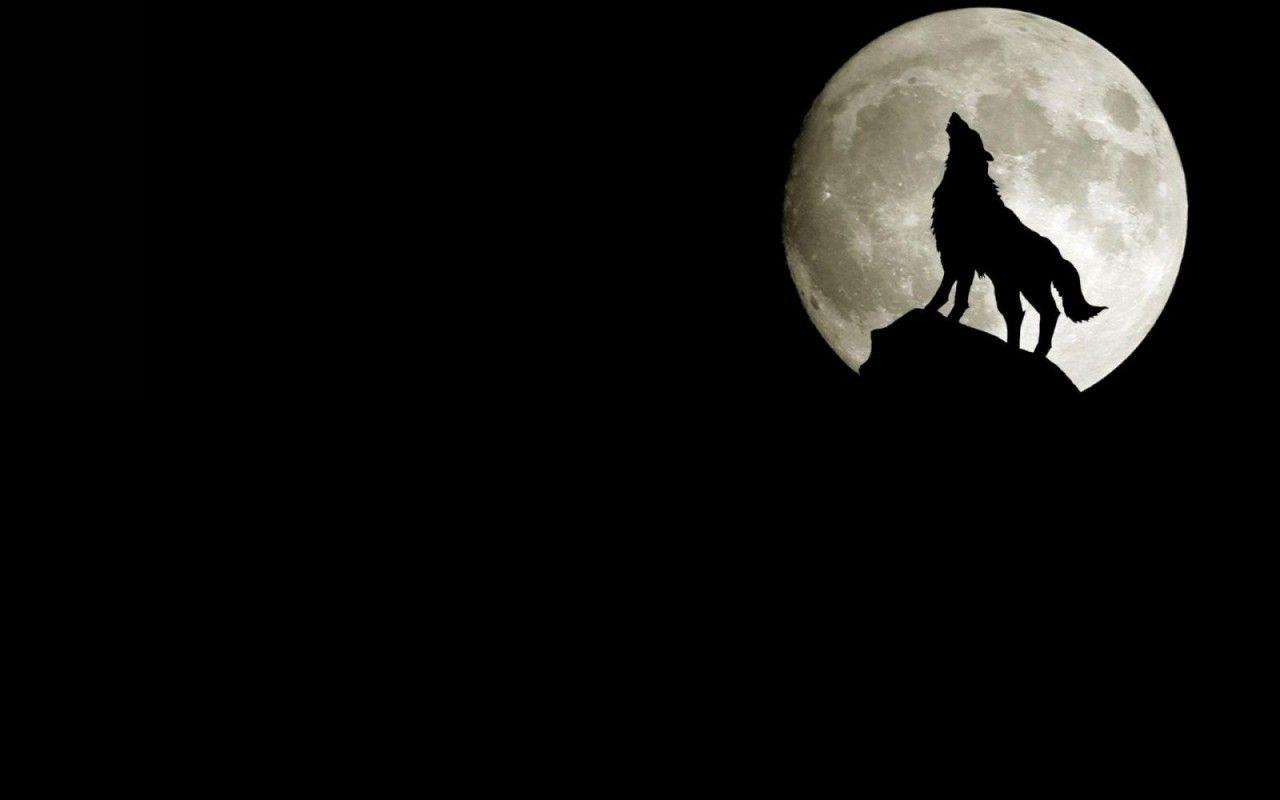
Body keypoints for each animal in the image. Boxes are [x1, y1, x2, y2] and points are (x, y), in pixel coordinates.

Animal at [926, 112, 1105, 355]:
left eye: (971, 132)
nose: (955, 115)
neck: (968, 184)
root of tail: (1058, 255)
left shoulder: (959, 257)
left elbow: (948, 293)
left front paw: (930, 311)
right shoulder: (960, 261)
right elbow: (957, 297)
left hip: (1026, 286)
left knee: (1045, 313)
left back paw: (1035, 352)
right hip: (1009, 285)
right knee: (1018, 313)